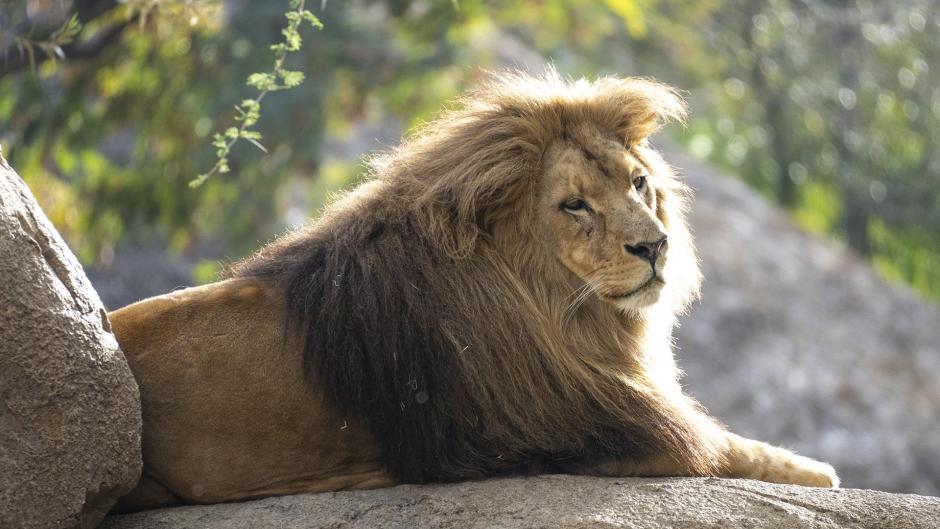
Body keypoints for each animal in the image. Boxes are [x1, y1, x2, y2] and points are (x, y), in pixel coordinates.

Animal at [108, 72, 836, 510]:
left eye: (638, 184)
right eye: (574, 205)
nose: (655, 246)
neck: (564, 310)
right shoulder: (611, 428)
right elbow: (738, 448)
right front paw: (822, 472)